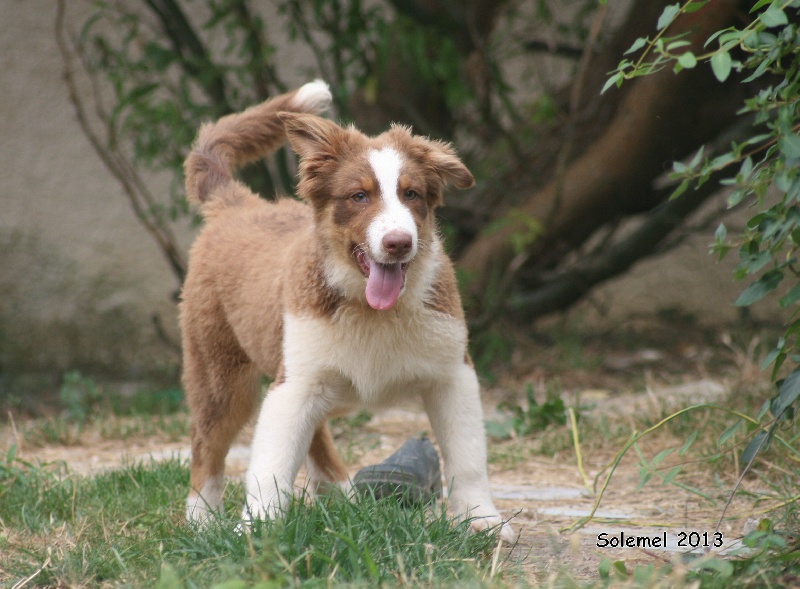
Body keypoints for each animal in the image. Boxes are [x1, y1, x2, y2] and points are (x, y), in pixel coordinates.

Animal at [180, 79, 516, 544]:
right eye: (359, 196)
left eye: (411, 194)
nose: (399, 243)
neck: (372, 310)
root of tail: (238, 204)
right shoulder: (293, 385)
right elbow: (270, 464)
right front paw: (257, 528)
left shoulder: (453, 373)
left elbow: (467, 456)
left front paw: (483, 519)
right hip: (221, 372)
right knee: (207, 445)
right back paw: (200, 520)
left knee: (314, 432)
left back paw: (341, 495)